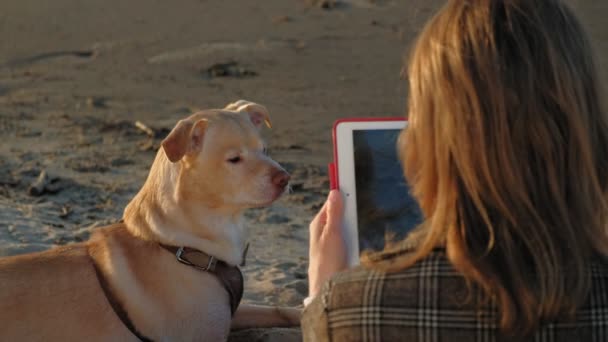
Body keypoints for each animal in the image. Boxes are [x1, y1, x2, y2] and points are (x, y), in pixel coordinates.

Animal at [0, 100, 302, 340]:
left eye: (265, 150)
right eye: (234, 159)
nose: (285, 178)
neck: (180, 246)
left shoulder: (231, 313)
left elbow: (279, 310)